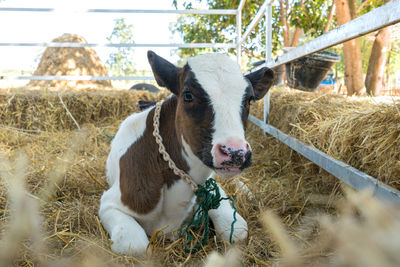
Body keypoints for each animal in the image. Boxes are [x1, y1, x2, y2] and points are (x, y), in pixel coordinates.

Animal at [98, 51, 274, 256]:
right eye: (188, 95)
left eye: (248, 99)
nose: (235, 152)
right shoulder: (110, 203)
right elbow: (136, 245)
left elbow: (236, 230)